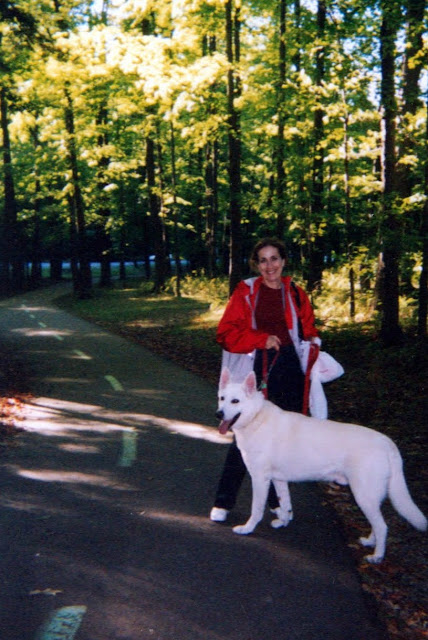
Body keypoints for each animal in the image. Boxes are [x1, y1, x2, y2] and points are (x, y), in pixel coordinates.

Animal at [216, 367, 427, 563]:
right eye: (222, 398)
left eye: (235, 401)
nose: (219, 413)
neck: (256, 417)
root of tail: (386, 442)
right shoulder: (278, 480)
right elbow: (285, 503)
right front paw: (283, 521)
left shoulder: (260, 479)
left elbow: (257, 509)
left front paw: (248, 528)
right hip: (370, 497)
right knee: (377, 524)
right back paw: (370, 542)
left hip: (363, 496)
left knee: (382, 527)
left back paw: (377, 556)